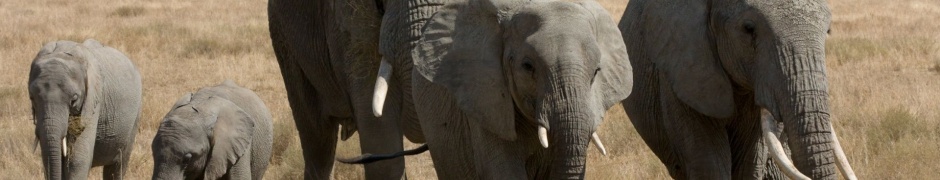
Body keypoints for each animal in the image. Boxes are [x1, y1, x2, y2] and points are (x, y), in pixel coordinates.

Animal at [27, 39, 142, 179]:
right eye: (32, 98)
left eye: (74, 99)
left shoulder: (93, 101)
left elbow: (77, 160)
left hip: (135, 116)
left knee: (117, 166)